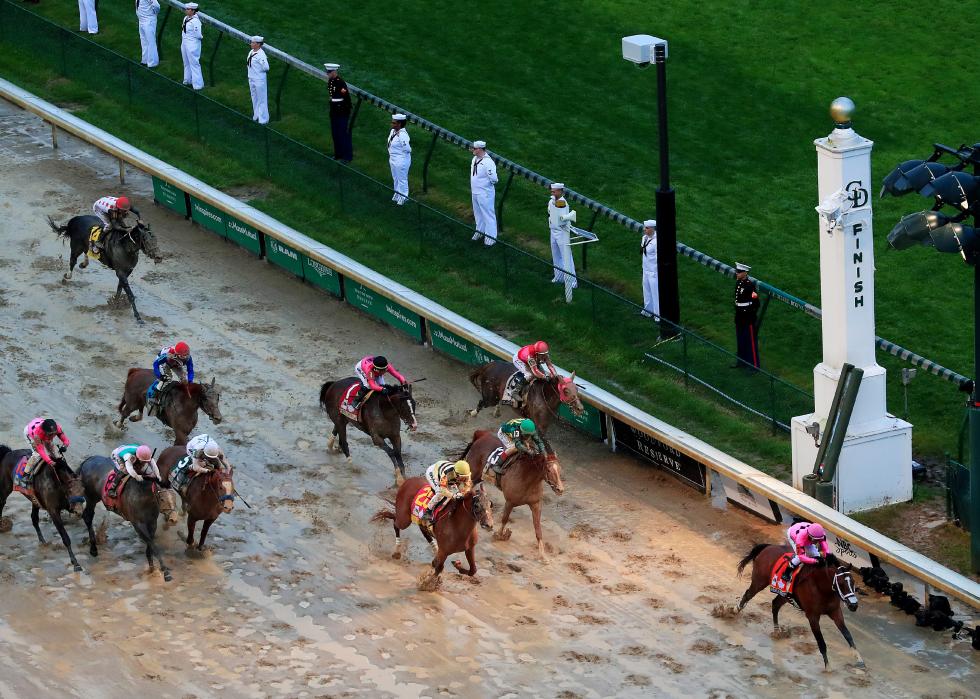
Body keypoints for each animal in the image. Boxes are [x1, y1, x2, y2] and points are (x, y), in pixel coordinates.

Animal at [0, 448, 86, 576]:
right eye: (70, 489)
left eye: (83, 489)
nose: (79, 511)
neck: (56, 480)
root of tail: (8, 453)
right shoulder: (53, 511)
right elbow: (65, 538)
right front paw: (76, 563)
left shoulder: (67, 505)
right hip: (5, 489)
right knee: (1, 503)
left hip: (34, 499)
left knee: (34, 518)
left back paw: (42, 541)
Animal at [77, 456, 179, 584]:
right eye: (162, 499)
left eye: (175, 497)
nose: (173, 519)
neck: (144, 497)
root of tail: (88, 460)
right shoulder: (138, 524)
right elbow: (153, 546)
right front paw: (165, 572)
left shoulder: (152, 523)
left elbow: (150, 545)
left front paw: (152, 568)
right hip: (91, 497)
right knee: (88, 516)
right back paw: (93, 549)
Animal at [462, 430, 568, 560]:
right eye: (548, 470)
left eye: (559, 469)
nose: (560, 489)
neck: (527, 478)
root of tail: (481, 435)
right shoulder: (510, 502)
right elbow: (504, 519)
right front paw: (499, 535)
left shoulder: (536, 504)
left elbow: (538, 528)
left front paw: (543, 556)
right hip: (472, 474)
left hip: (478, 477)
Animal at [736, 544, 864, 668]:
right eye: (841, 584)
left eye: (853, 582)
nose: (853, 605)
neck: (821, 587)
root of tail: (768, 547)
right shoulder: (812, 616)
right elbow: (821, 642)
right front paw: (828, 668)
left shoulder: (835, 611)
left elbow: (848, 635)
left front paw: (859, 659)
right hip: (759, 582)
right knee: (748, 595)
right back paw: (734, 610)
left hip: (785, 594)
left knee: (775, 604)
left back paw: (777, 631)